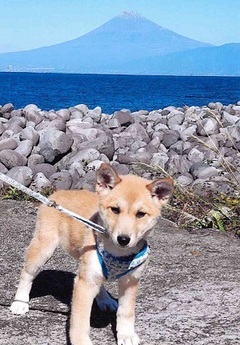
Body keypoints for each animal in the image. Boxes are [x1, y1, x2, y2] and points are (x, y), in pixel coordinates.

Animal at [10, 163, 173, 344]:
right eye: (115, 209)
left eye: (141, 214)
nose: (123, 239)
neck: (118, 252)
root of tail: (58, 193)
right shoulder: (84, 285)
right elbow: (80, 321)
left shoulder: (130, 281)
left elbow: (126, 312)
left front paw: (126, 334)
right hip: (44, 247)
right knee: (27, 273)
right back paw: (20, 302)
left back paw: (105, 300)